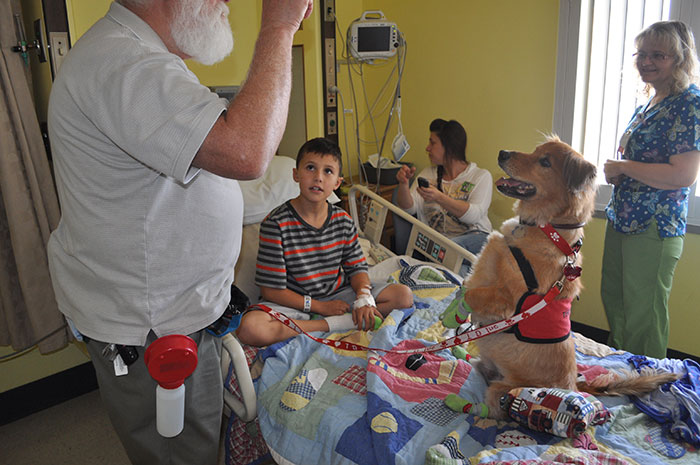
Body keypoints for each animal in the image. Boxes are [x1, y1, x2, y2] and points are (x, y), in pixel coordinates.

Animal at [462, 136, 676, 418]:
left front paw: (458, 307)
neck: (545, 228)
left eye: (545, 162)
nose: (502, 153)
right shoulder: (490, 262)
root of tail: (575, 384)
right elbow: (472, 282)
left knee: (492, 408)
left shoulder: (506, 298)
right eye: (535, 151)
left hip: (501, 391)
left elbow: (471, 293)